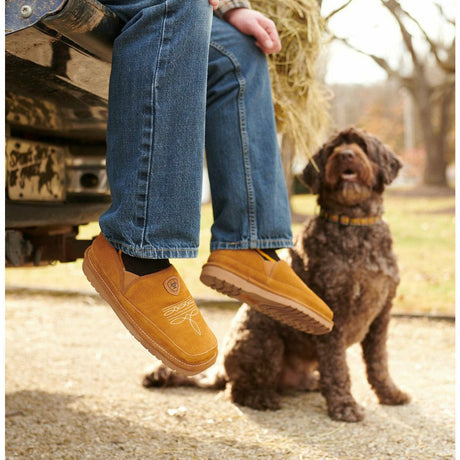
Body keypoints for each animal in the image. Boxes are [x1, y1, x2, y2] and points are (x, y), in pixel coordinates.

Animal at [143, 127, 410, 422]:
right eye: (332, 149)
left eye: (362, 146)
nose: (346, 155)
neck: (354, 225)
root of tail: (220, 370)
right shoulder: (334, 316)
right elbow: (338, 367)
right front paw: (344, 405)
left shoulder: (382, 314)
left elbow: (378, 361)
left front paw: (390, 393)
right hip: (265, 342)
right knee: (236, 391)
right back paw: (262, 397)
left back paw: (311, 383)